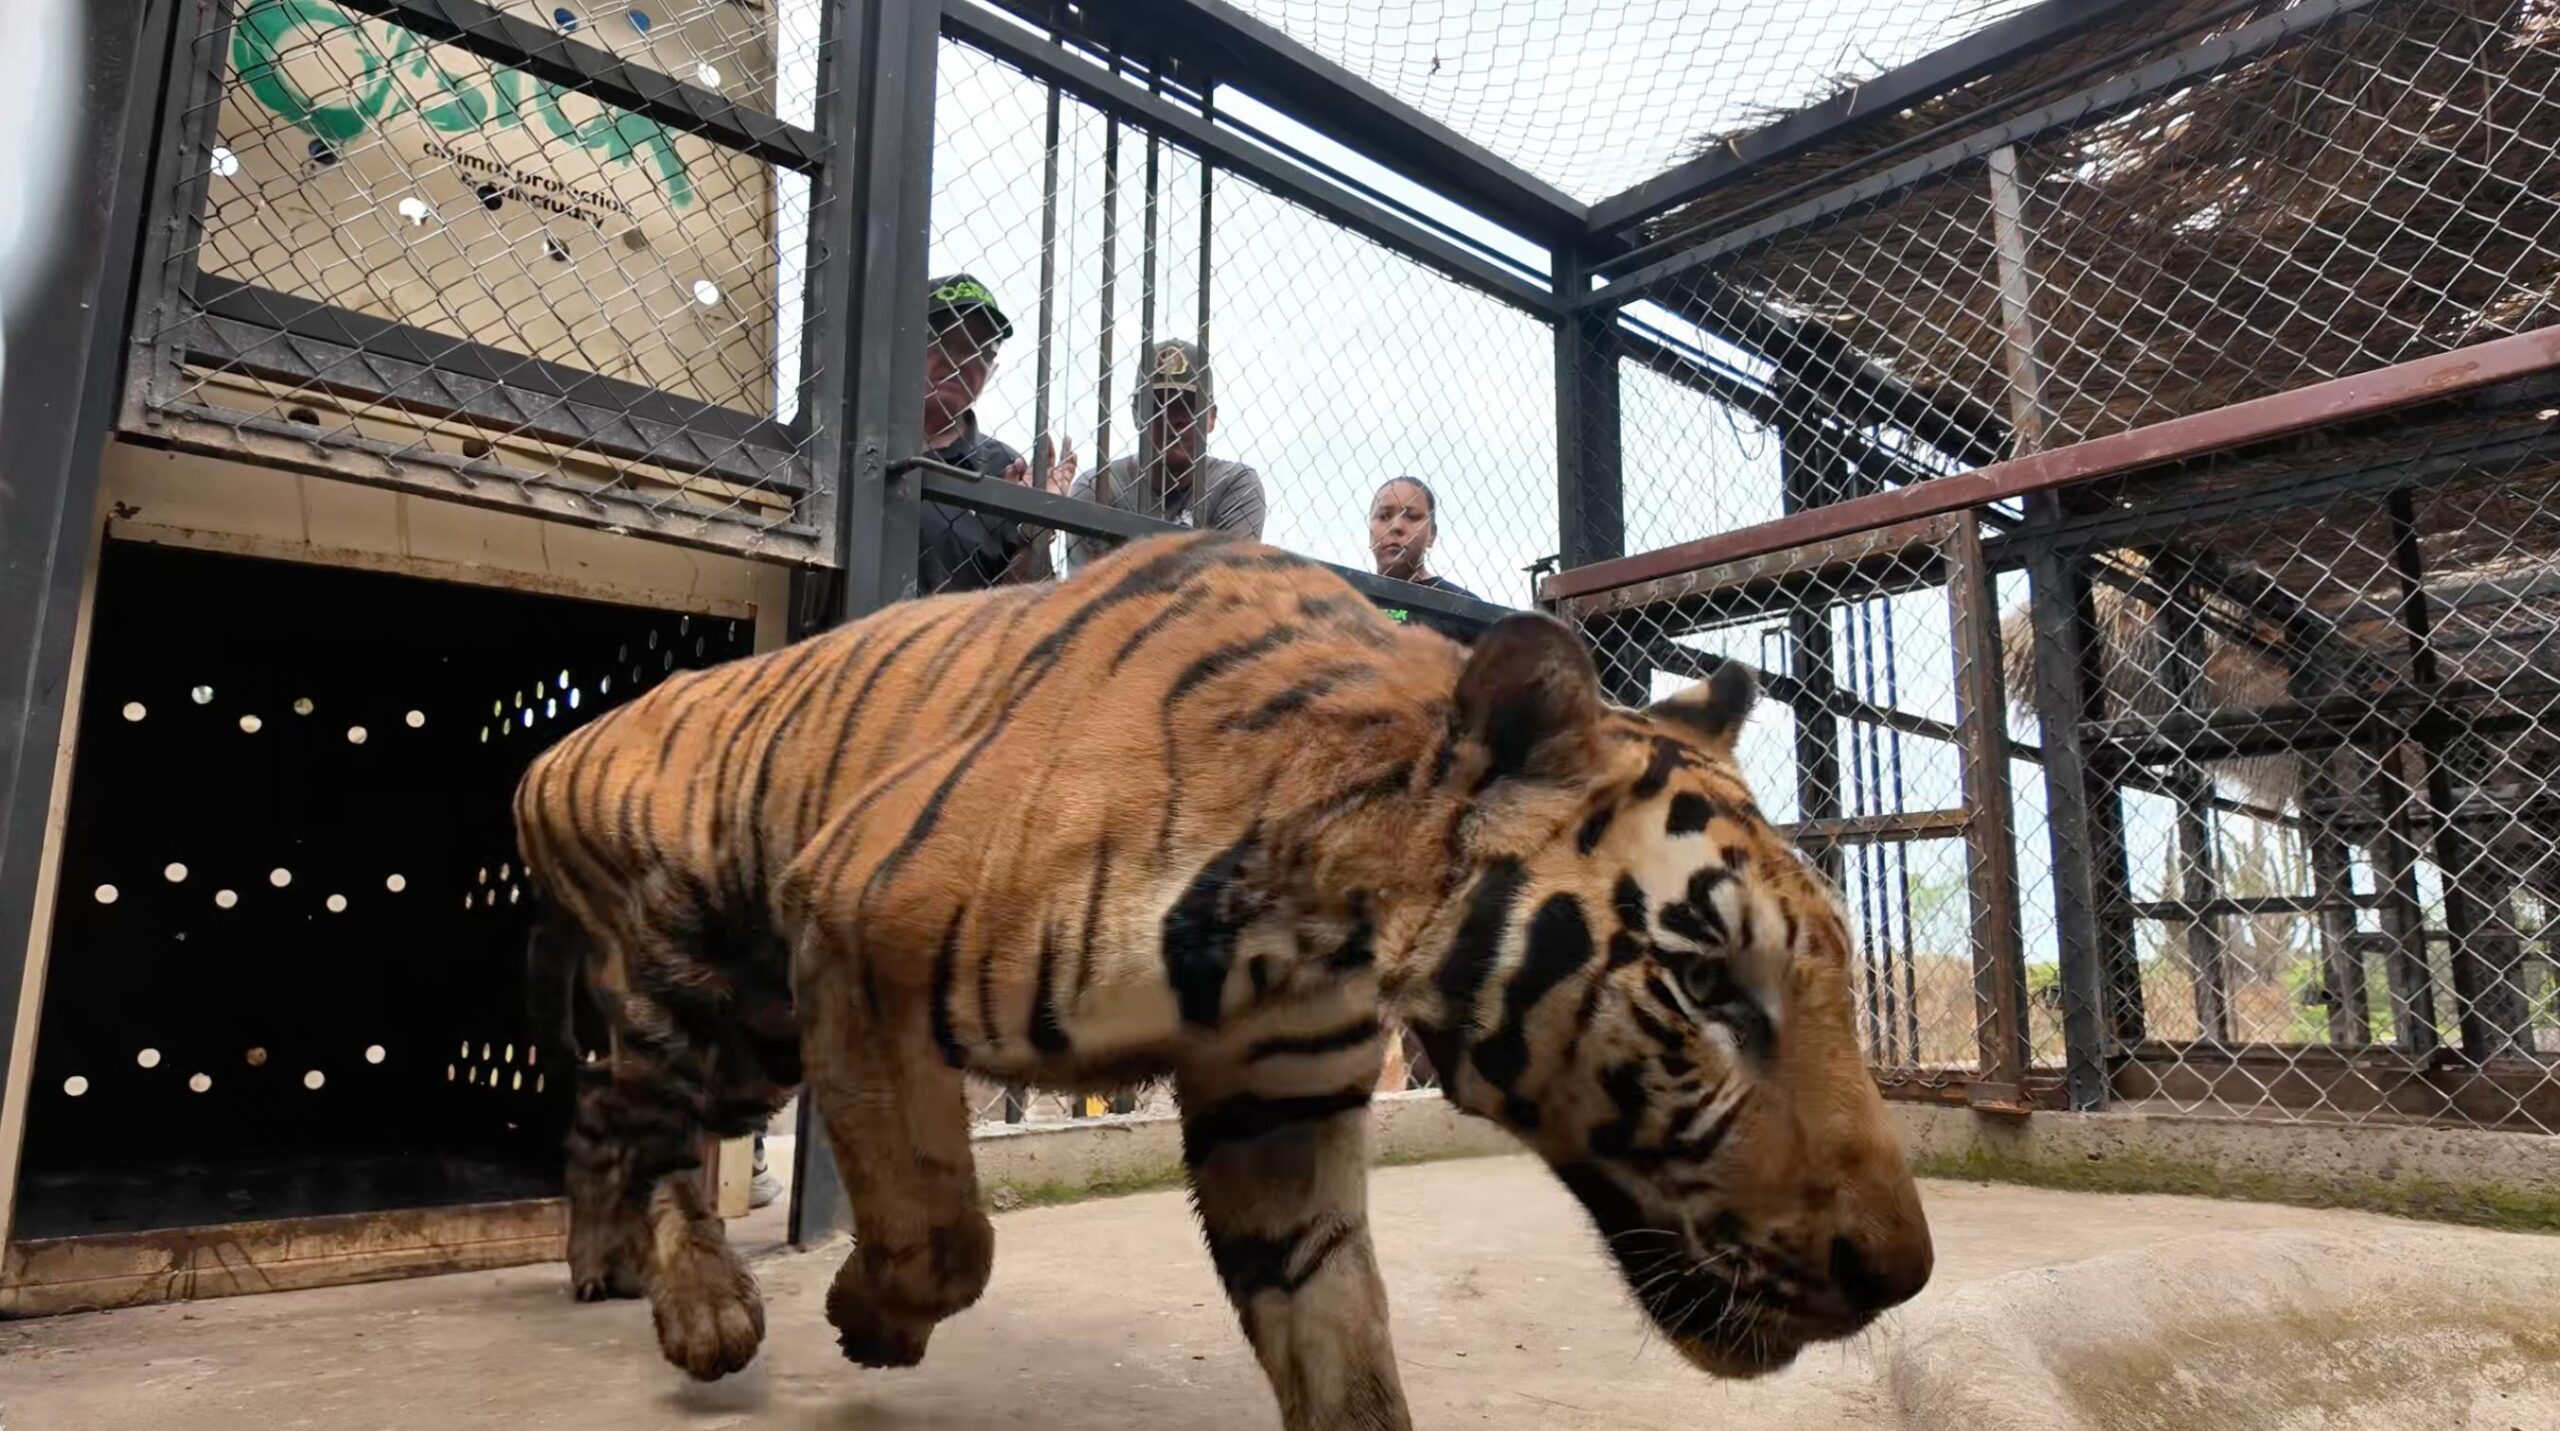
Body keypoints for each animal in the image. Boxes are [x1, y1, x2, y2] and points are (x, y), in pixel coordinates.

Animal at [513, 529, 1931, 1431]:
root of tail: (563, 735)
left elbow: (1338, 1336)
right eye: (1706, 988)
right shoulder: (852, 922)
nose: (1899, 1277)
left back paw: (605, 1268)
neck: (1322, 926)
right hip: (693, 972)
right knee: (650, 1129)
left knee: (605, 1112)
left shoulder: (1278, 1107)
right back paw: (698, 1307)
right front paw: (873, 1319)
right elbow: (944, 1227)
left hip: (754, 1028)